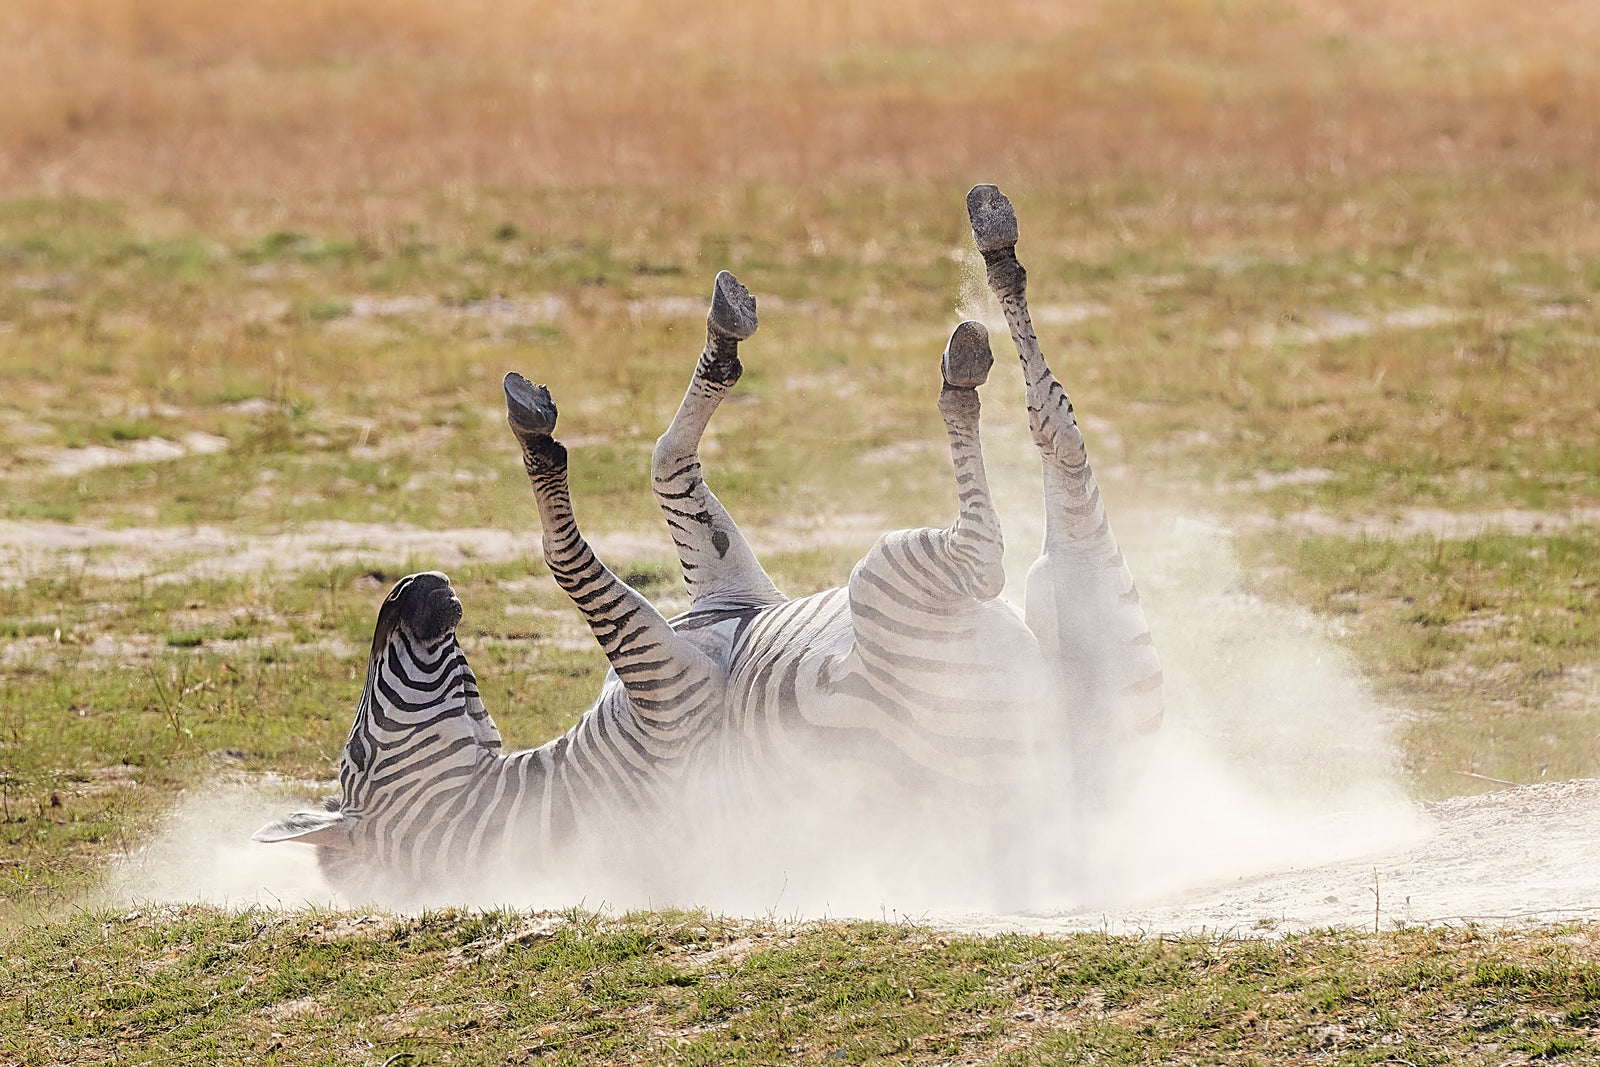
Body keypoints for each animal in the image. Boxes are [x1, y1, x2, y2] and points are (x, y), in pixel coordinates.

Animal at [254, 185, 1164, 910]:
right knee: (1004, 514)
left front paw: (723, 337)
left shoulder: (726, 597)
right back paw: (967, 352)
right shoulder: (674, 692)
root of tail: (1059, 851)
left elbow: (666, 465)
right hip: (896, 584)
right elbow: (565, 558)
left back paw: (993, 245)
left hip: (1081, 634)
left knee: (1058, 443)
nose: (409, 584)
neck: (535, 795)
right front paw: (540, 443)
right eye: (359, 748)